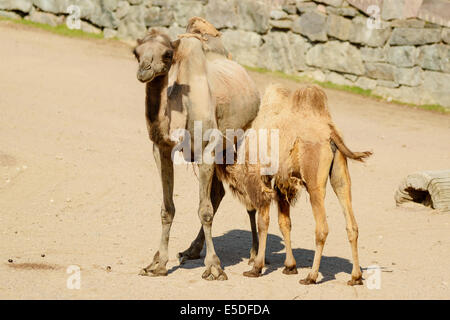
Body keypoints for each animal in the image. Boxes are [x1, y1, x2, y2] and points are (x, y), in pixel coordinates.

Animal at [216, 84, 370, 284]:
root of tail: (331, 134)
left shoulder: (260, 178)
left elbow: (263, 222)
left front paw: (257, 267)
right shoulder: (282, 182)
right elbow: (285, 222)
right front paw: (290, 266)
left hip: (314, 181)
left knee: (322, 228)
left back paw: (311, 276)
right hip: (340, 174)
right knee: (351, 222)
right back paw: (356, 277)